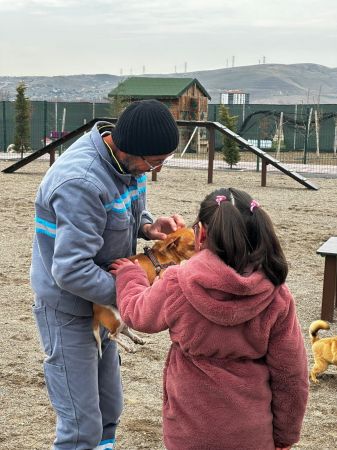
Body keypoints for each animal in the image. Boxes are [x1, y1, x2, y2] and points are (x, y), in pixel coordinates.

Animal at [92, 227, 194, 356]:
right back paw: (128, 346)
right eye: (192, 246)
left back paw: (137, 339)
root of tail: (94, 309)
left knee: (124, 330)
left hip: (123, 315)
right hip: (117, 317)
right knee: (112, 335)